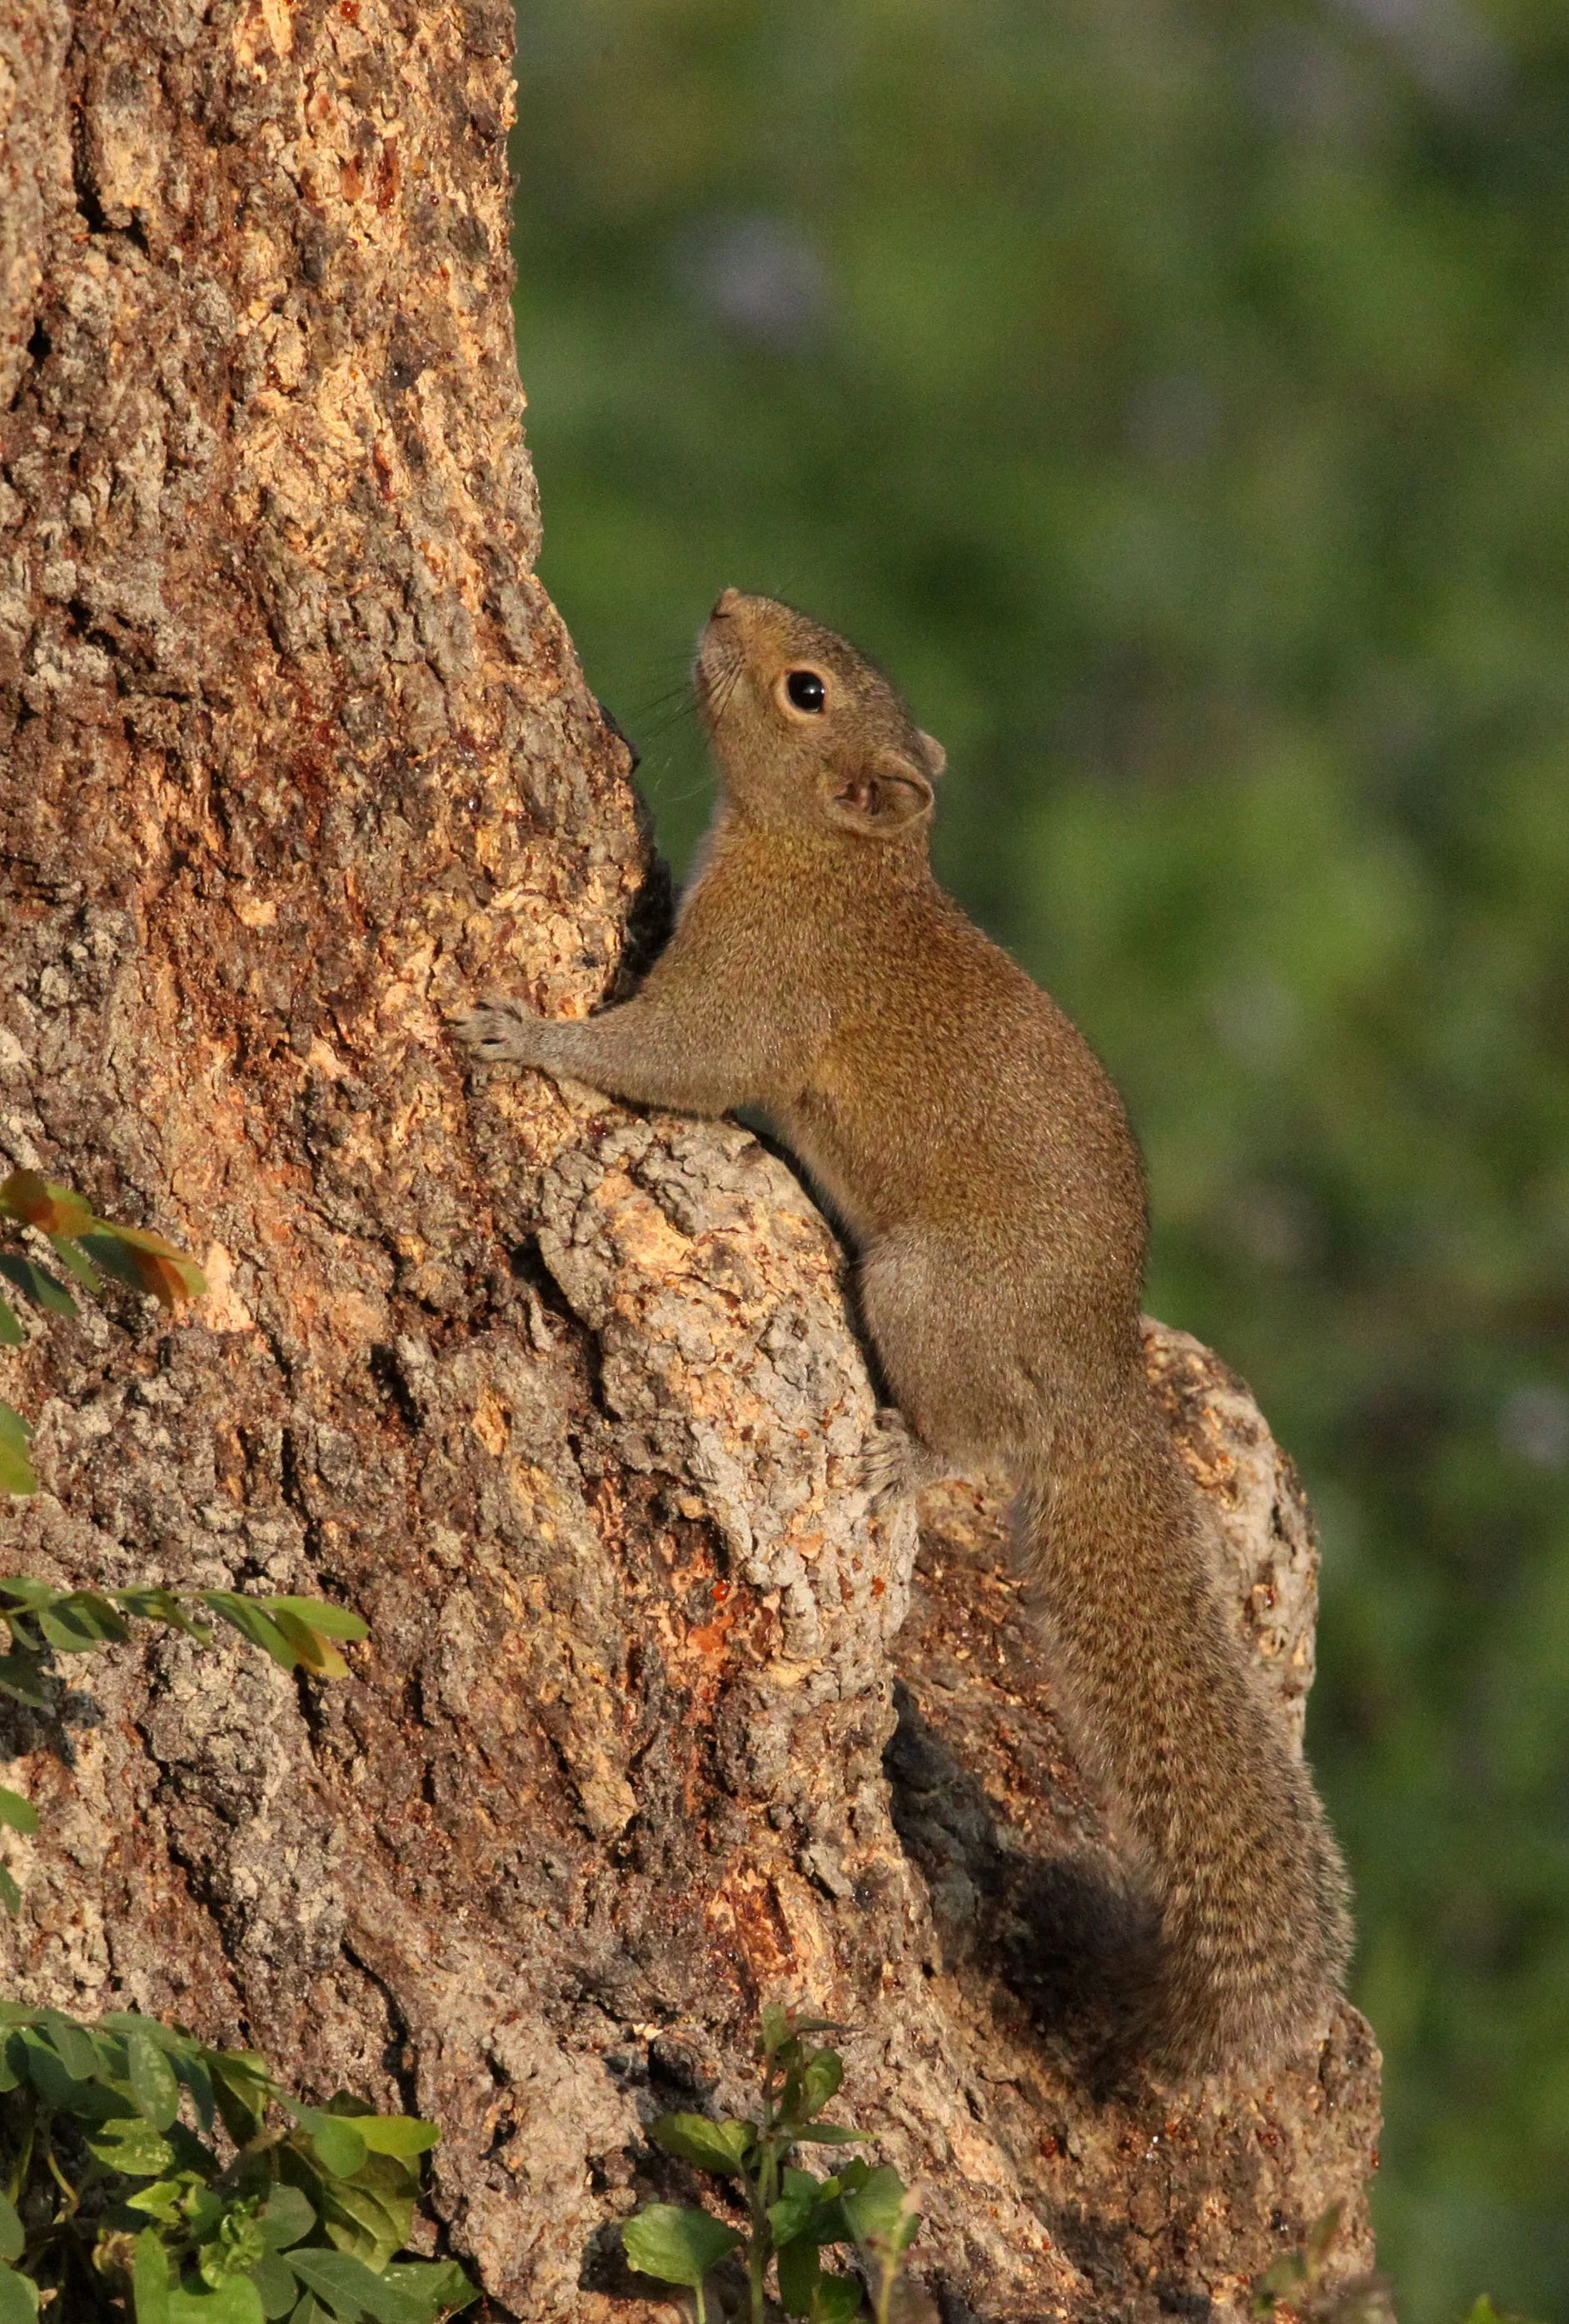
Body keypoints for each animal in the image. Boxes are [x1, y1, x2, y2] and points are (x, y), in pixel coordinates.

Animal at [457, 588, 1352, 2077]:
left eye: (805, 689)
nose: (727, 602)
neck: (838, 862)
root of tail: (1098, 1366)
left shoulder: (764, 981)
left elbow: (679, 1062)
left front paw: (529, 1036)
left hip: (927, 1291)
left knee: (986, 1433)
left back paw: (912, 1455)